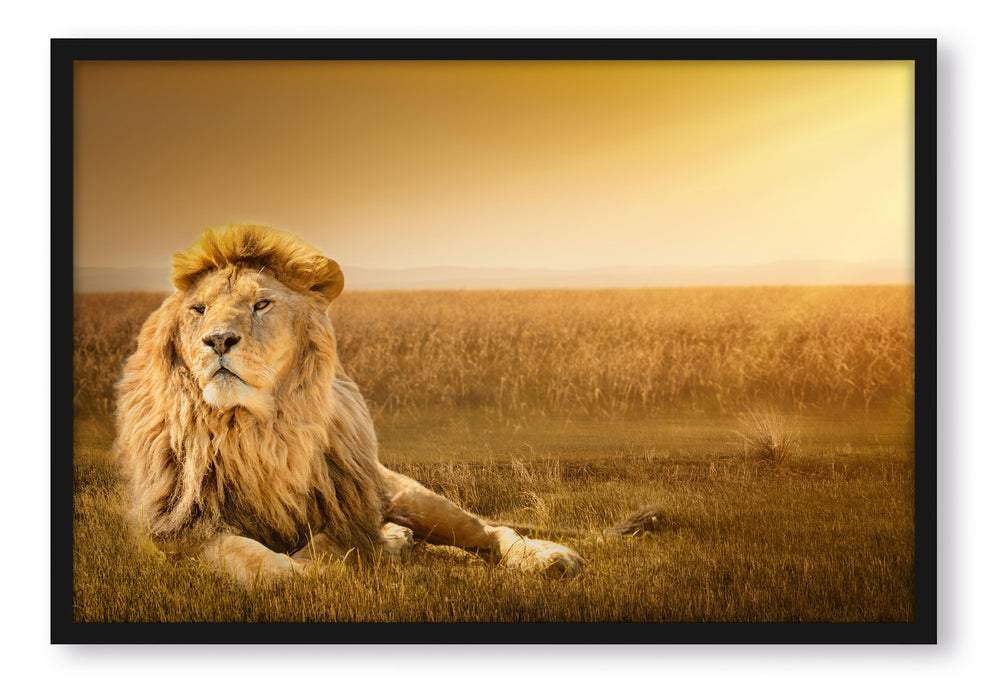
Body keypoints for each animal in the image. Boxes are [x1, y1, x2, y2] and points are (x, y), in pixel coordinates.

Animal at [114, 223, 590, 585]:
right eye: (198, 309)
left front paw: (343, 559)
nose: (217, 340)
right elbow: (246, 554)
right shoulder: (179, 528)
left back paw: (547, 558)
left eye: (261, 304)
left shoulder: (345, 508)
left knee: (489, 530)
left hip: (409, 496)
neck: (255, 429)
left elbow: (331, 543)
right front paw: (299, 573)